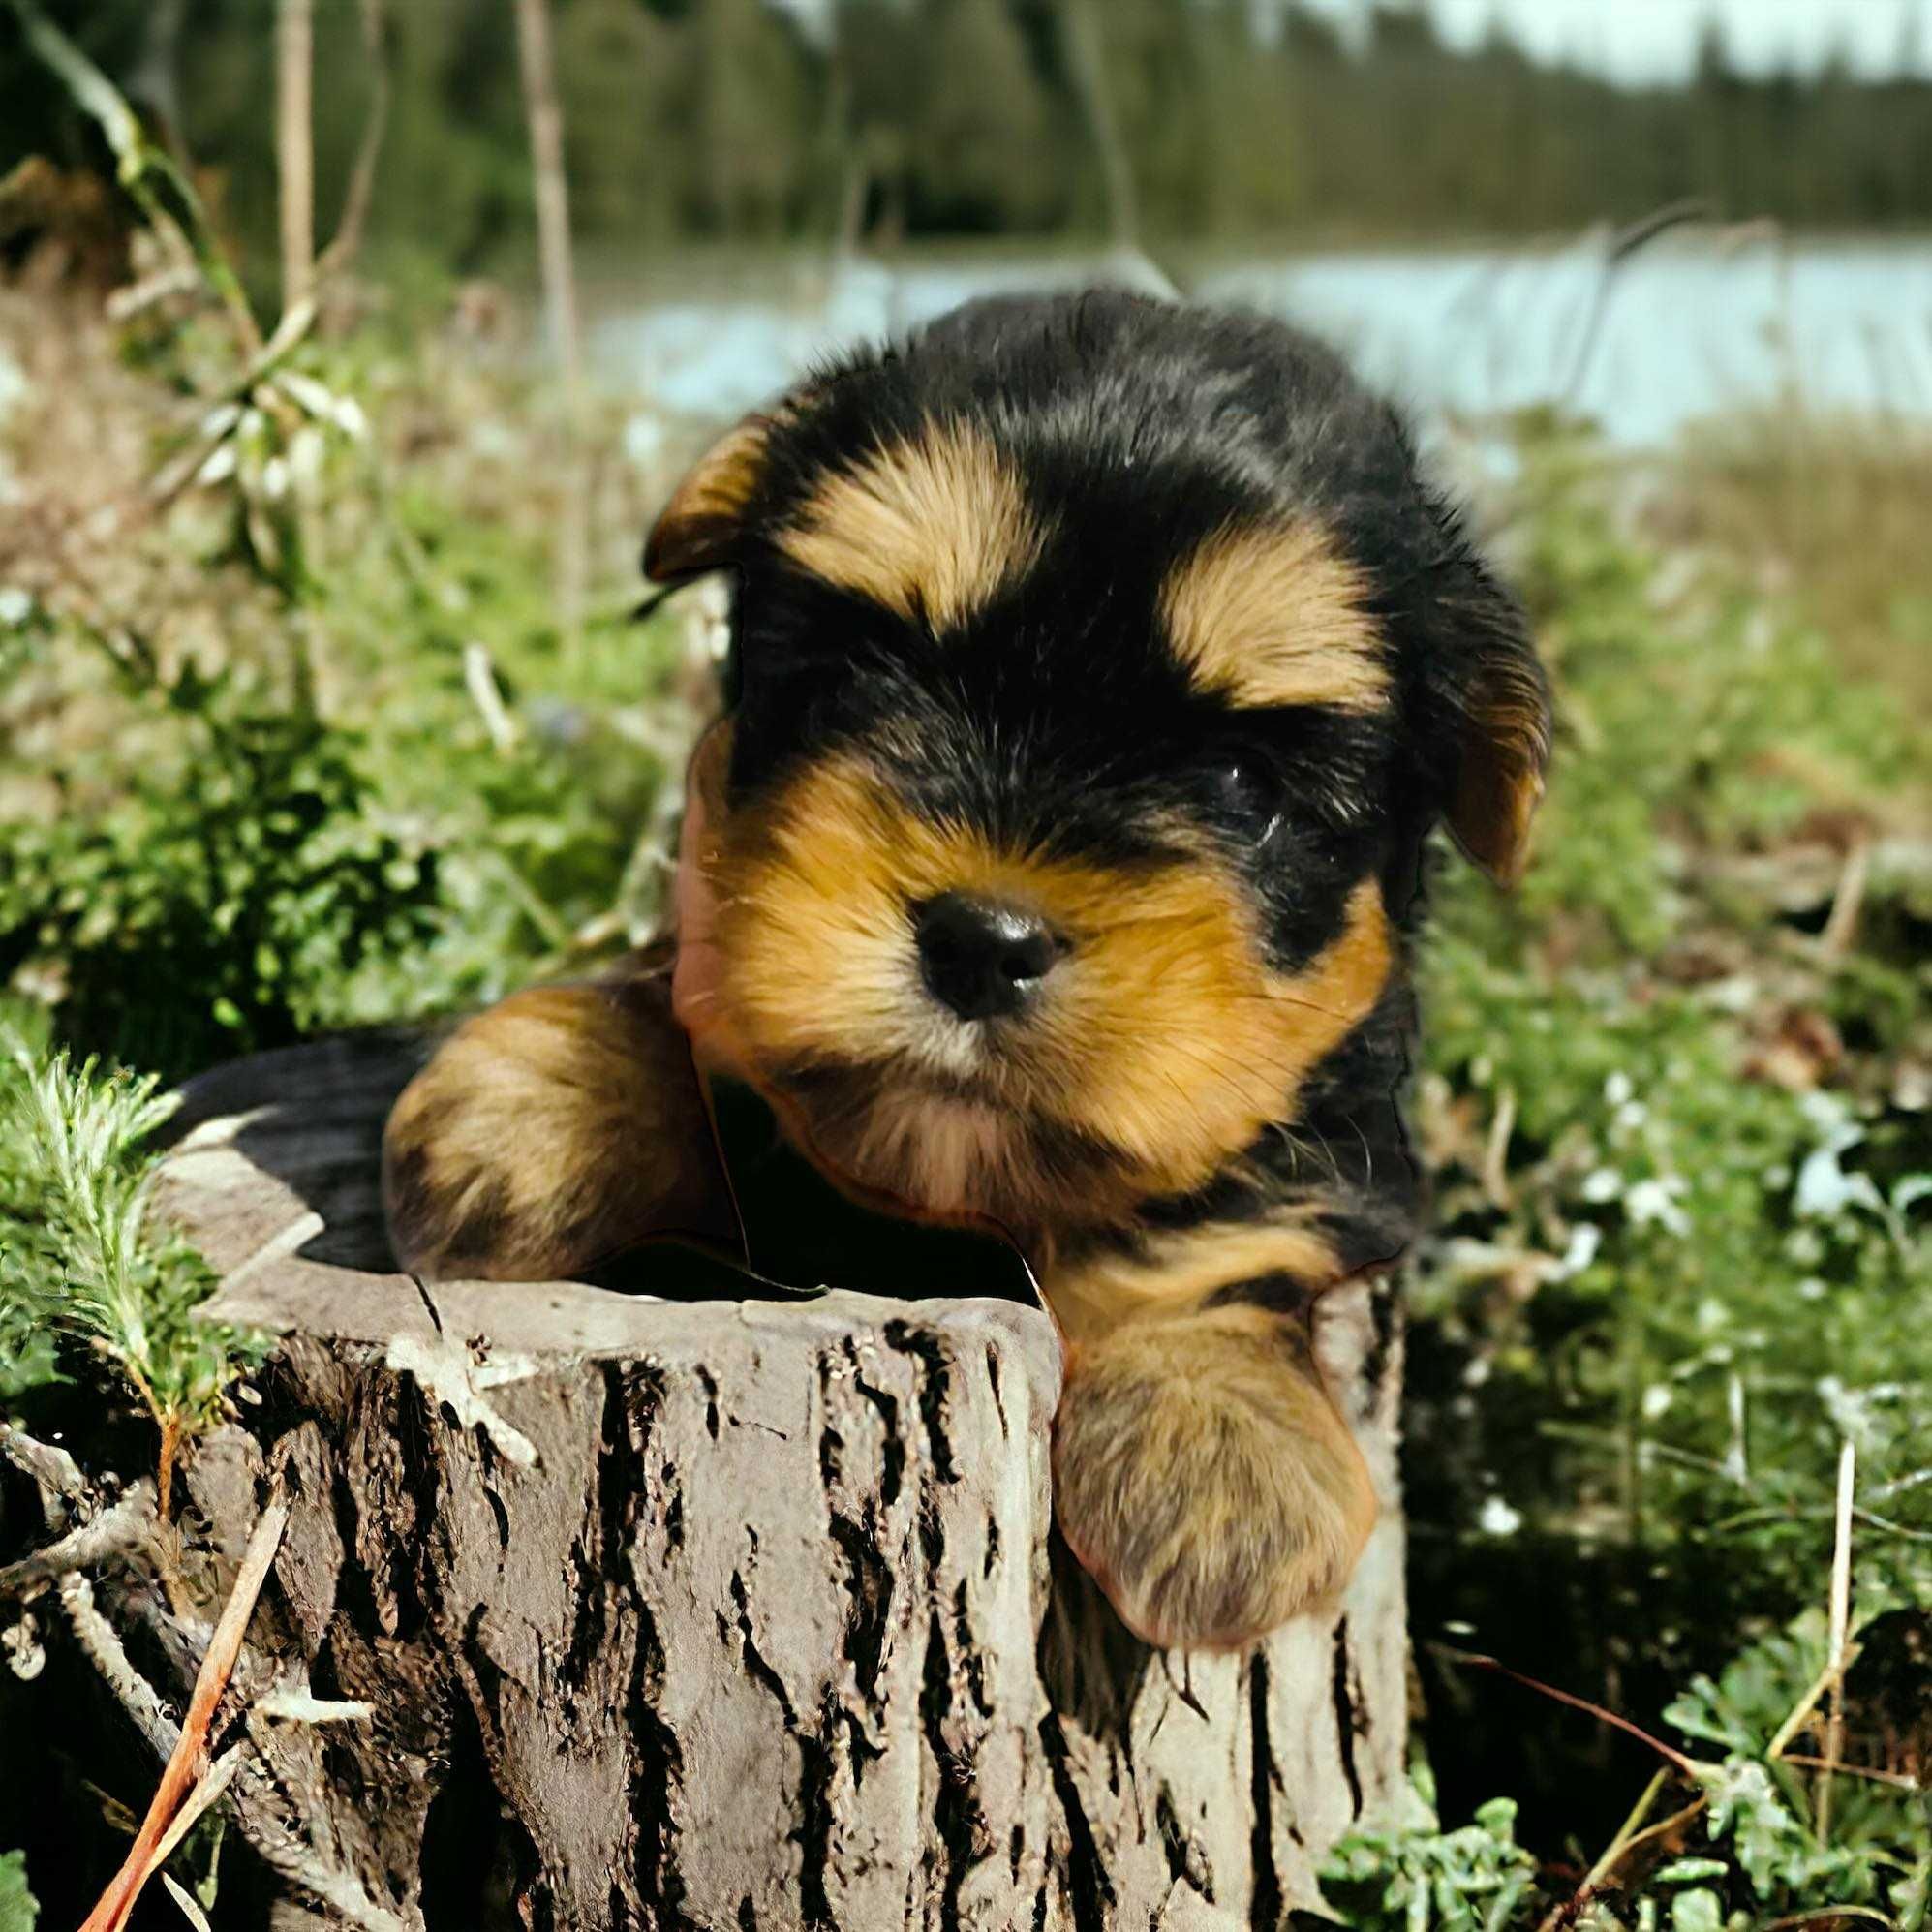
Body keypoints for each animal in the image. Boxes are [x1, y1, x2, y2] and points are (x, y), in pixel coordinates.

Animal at [381, 293, 1552, 1653]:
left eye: (1246, 788)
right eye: (855, 678)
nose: (984, 941)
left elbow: (1213, 1230)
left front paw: (1219, 1448)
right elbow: (698, 1023)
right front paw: (536, 1104)